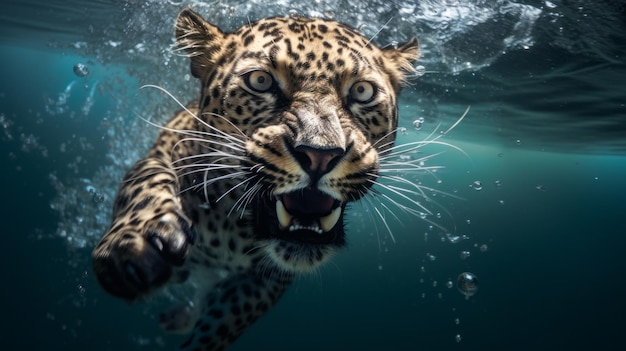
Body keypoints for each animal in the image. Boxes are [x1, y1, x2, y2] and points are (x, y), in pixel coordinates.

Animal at [92, 8, 416, 351]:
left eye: (361, 91)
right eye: (260, 82)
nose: (320, 155)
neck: (233, 227)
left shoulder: (268, 280)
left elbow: (223, 323)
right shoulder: (168, 146)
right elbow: (146, 177)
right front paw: (134, 246)